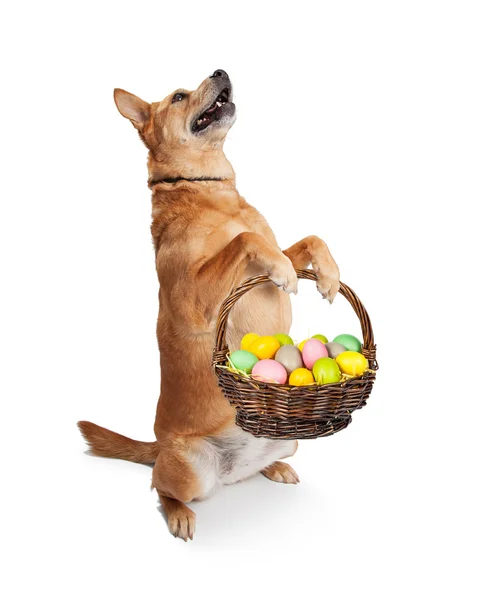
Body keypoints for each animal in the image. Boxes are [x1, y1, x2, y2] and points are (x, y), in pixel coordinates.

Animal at [78, 69, 342, 540]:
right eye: (179, 97)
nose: (220, 71)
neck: (207, 189)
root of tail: (160, 447)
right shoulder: (192, 300)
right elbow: (248, 240)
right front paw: (285, 269)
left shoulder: (277, 252)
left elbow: (310, 238)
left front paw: (328, 276)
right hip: (190, 469)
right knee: (159, 486)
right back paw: (178, 513)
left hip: (291, 438)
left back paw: (272, 468)